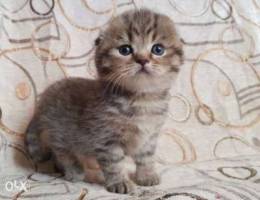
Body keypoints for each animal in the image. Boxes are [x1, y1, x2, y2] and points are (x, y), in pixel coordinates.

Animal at [24, 8, 183, 194]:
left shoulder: (149, 137)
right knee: (62, 152)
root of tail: (42, 101)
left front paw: (146, 176)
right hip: (59, 131)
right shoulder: (106, 139)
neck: (142, 100)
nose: (143, 60)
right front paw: (120, 182)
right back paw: (74, 171)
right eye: (125, 50)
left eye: (158, 49)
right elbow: (114, 164)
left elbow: (146, 158)